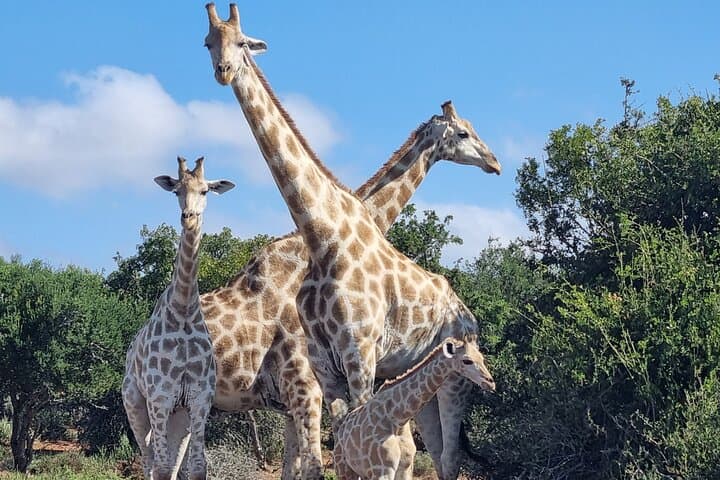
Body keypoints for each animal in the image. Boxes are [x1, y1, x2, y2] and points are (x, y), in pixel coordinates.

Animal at [122, 157, 235, 480]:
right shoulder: (160, 397)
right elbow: (160, 467)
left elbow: (196, 467)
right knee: (149, 460)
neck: (183, 309)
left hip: (179, 417)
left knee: (168, 462)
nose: (188, 217)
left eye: (205, 190)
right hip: (135, 403)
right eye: (176, 191)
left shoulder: (199, 400)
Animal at [332, 338, 495, 480]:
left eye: (481, 358)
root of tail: (341, 432)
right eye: (466, 360)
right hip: (344, 468)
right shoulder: (381, 470)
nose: (490, 383)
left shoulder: (405, 467)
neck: (397, 418)